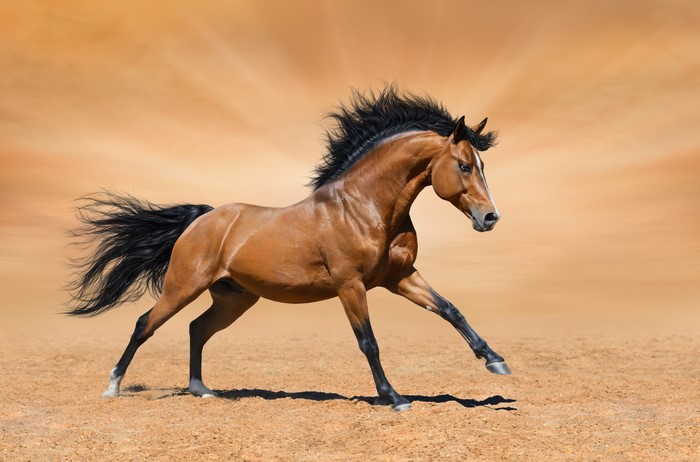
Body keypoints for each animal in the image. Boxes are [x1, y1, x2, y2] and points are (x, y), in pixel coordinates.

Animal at [68, 87, 510, 412]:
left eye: (482, 166)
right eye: (465, 166)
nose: (490, 217)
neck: (365, 207)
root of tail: (202, 219)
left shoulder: (400, 278)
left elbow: (450, 309)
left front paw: (495, 361)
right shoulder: (351, 286)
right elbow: (368, 341)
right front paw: (395, 398)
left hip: (234, 298)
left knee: (197, 328)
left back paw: (202, 389)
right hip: (183, 286)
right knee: (145, 324)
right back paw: (113, 387)